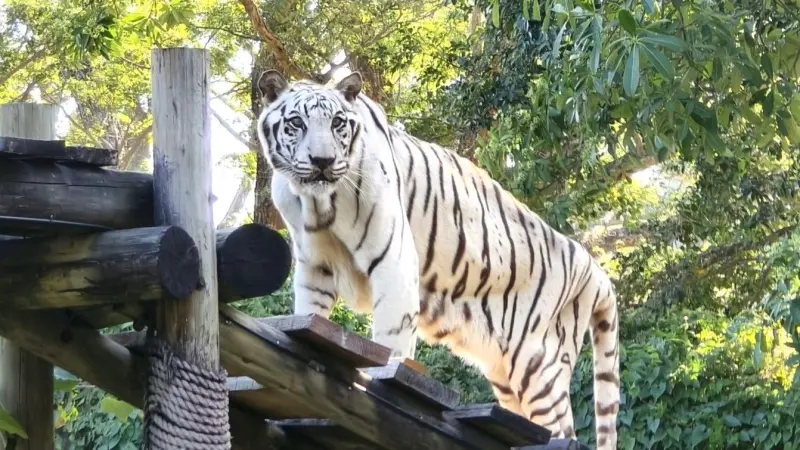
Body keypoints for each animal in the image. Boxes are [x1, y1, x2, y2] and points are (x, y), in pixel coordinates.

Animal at [255, 70, 620, 449]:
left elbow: (392, 338)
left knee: (564, 434)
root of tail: (595, 270)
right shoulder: (315, 265)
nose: (323, 162)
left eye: (338, 123)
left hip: (539, 366)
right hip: (507, 377)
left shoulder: (394, 260)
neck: (318, 203)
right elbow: (309, 313)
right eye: (296, 123)